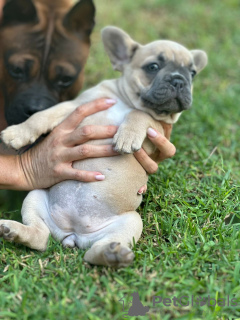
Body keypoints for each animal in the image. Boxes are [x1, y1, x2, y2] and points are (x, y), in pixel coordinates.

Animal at [0, 26, 207, 268]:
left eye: (192, 73)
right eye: (153, 67)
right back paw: (14, 230)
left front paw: (127, 136)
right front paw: (16, 133)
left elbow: (140, 114)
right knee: (41, 237)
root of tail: (73, 233)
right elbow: (42, 116)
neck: (125, 101)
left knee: (92, 252)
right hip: (35, 196)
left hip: (131, 222)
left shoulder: (158, 130)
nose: (179, 80)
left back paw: (111, 255)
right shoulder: (76, 106)